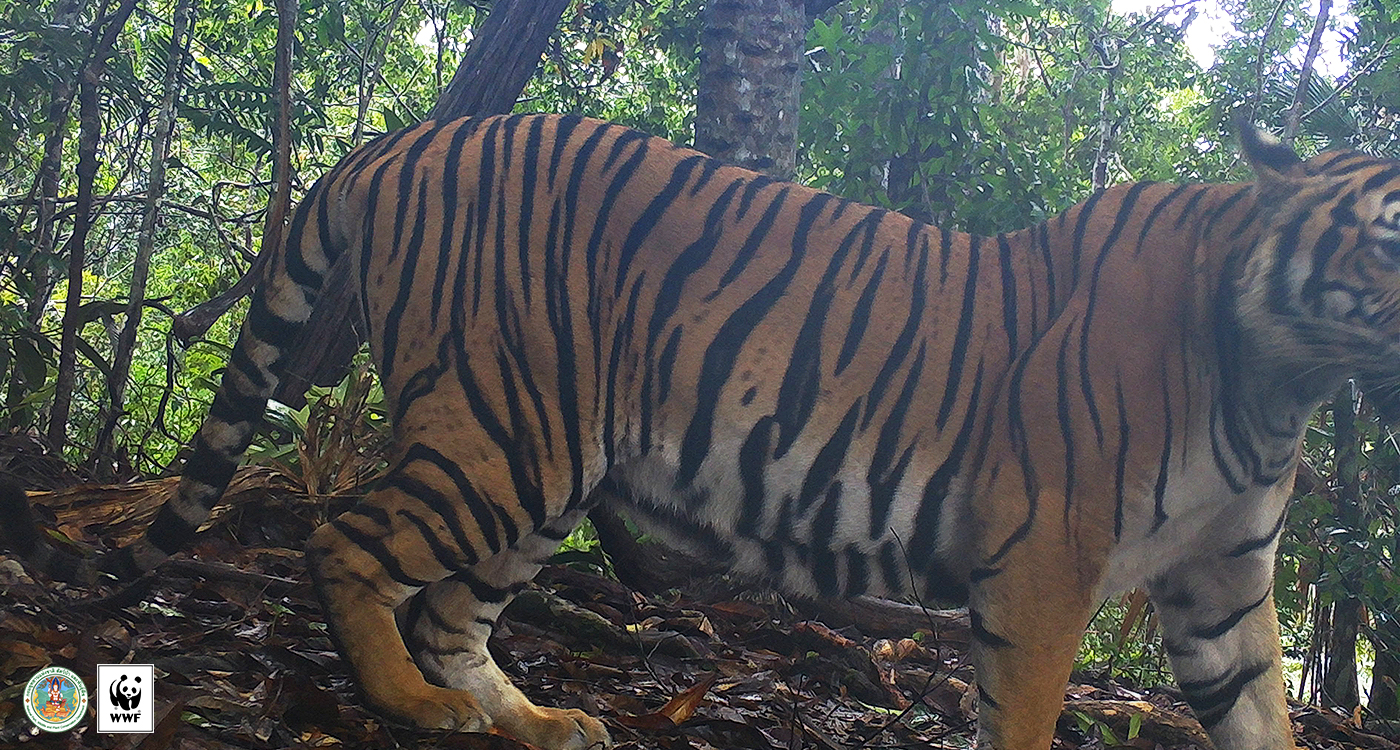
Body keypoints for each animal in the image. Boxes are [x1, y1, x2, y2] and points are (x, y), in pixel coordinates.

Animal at [10, 112, 1400, 750]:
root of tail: (406, 137)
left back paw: (533, 722)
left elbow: (1259, 716)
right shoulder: (1045, 563)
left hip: (545, 470)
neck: (1278, 381)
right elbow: (1022, 715)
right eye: (1389, 233)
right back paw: (413, 707)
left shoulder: (1222, 583)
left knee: (453, 609)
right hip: (503, 438)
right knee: (347, 541)